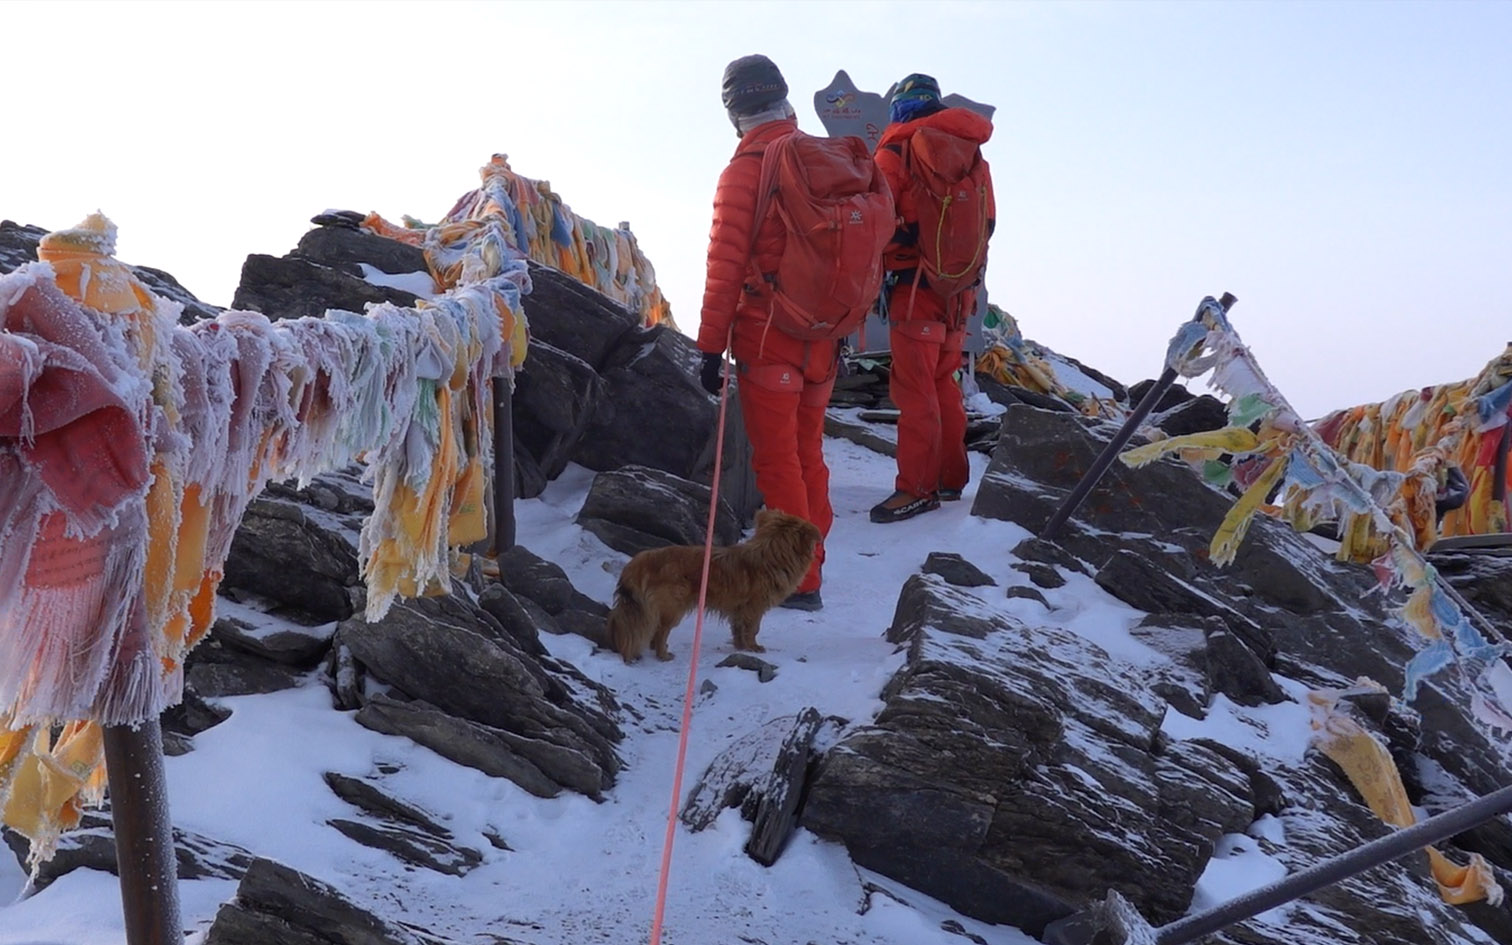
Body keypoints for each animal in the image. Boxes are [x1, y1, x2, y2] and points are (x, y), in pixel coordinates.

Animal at [601, 508, 822, 662]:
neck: (771, 554)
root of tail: (641, 561)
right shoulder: (754, 608)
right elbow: (752, 629)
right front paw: (753, 648)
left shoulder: (739, 611)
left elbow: (738, 630)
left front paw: (740, 647)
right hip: (673, 608)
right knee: (660, 631)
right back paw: (663, 655)